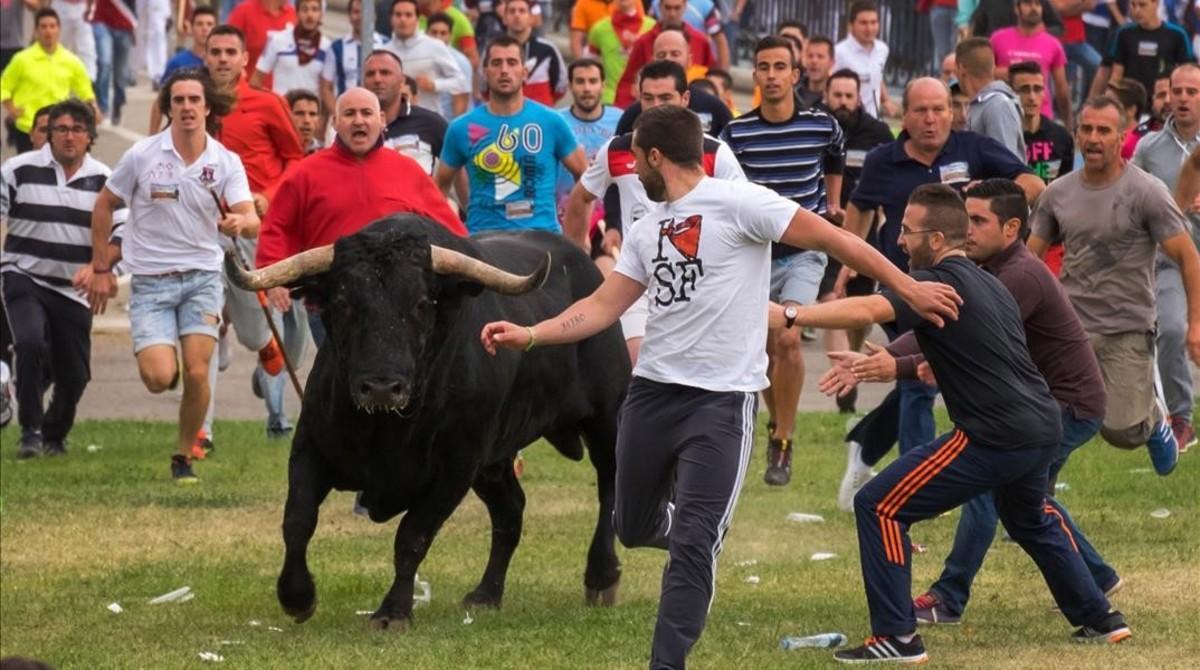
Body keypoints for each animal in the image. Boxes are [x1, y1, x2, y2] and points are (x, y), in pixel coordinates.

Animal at [229, 216, 633, 629]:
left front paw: (393, 611)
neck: (385, 430)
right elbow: (297, 520)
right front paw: (297, 596)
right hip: (494, 461)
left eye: (422, 304)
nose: (381, 386)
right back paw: (486, 594)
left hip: (606, 419)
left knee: (609, 487)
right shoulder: (311, 447)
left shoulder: (455, 468)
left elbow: (413, 536)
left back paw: (601, 576)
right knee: (510, 509)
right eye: (342, 303)